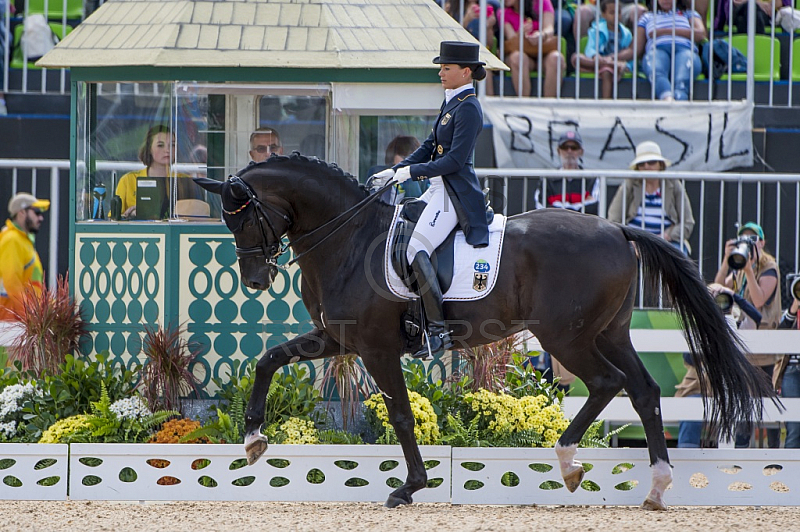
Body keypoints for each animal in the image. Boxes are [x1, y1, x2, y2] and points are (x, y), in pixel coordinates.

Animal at [195, 152, 776, 510]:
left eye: (242, 217)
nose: (255, 279)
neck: (351, 239)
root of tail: (616, 228)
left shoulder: (377, 348)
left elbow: (402, 416)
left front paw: (410, 487)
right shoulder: (340, 338)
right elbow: (269, 359)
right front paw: (253, 440)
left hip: (565, 337)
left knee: (608, 384)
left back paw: (570, 464)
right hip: (609, 332)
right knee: (644, 389)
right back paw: (654, 486)